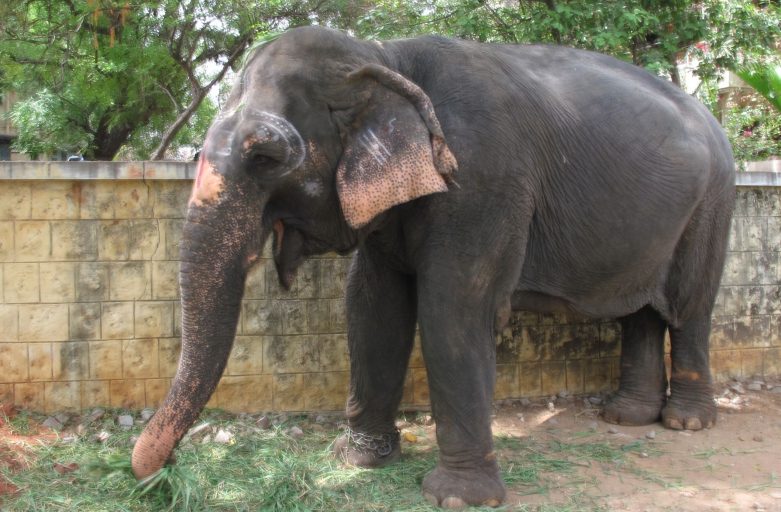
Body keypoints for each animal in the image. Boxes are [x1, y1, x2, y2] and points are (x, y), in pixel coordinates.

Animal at [131, 27, 736, 508]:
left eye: (265, 156)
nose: (163, 475)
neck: (384, 58)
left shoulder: (481, 178)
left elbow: (453, 309)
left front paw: (458, 497)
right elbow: (372, 307)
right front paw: (357, 461)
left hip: (714, 201)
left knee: (690, 307)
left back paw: (685, 422)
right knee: (643, 311)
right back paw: (625, 418)